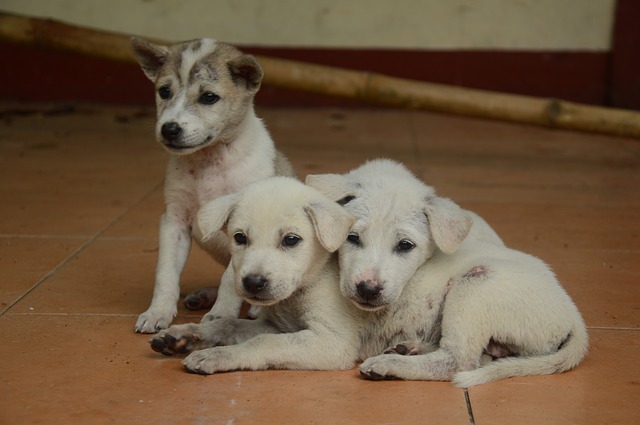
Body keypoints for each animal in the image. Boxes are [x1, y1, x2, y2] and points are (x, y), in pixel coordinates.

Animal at [130, 36, 296, 332]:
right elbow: (165, 273)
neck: (208, 162)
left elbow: (229, 280)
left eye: (209, 97)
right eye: (164, 91)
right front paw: (157, 312)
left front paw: (220, 316)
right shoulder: (174, 221)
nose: (169, 129)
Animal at [147, 176, 362, 374]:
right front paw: (186, 334)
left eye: (291, 240)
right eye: (240, 237)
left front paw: (216, 355)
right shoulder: (277, 325)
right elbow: (229, 324)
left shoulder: (331, 340)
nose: (253, 282)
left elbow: (264, 341)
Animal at [308, 158, 588, 384]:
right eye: (352, 237)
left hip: (475, 286)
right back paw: (408, 348)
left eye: (405, 245)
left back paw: (390, 364)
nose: (368, 289)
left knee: (458, 361)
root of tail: (574, 316)